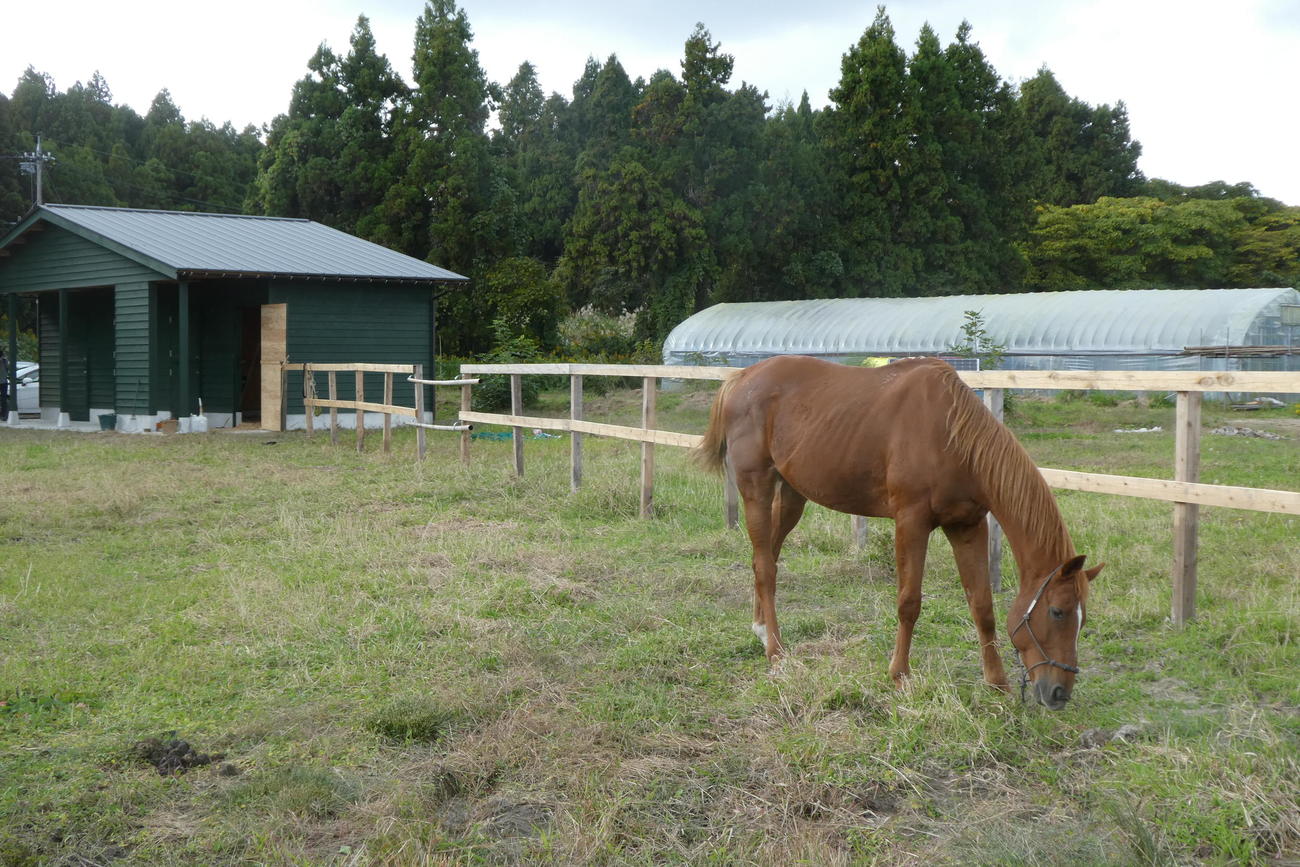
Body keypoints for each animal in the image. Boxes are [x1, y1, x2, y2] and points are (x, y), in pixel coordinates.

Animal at [694, 355, 1102, 709]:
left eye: (1083, 619)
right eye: (1058, 612)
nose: (1059, 693)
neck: (952, 436)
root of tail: (741, 378)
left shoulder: (967, 527)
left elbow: (982, 605)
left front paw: (996, 682)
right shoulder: (911, 522)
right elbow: (909, 602)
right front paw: (900, 675)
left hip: (793, 496)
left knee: (765, 558)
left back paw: (762, 628)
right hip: (757, 489)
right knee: (765, 565)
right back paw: (776, 653)